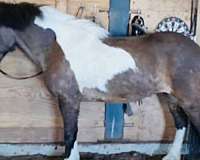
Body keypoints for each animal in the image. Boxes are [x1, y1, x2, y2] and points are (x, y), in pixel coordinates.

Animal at [0, 1, 200, 160]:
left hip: (190, 102)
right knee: (181, 123)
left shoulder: (68, 99)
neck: (58, 46)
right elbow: (73, 135)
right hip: (171, 97)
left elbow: (69, 135)